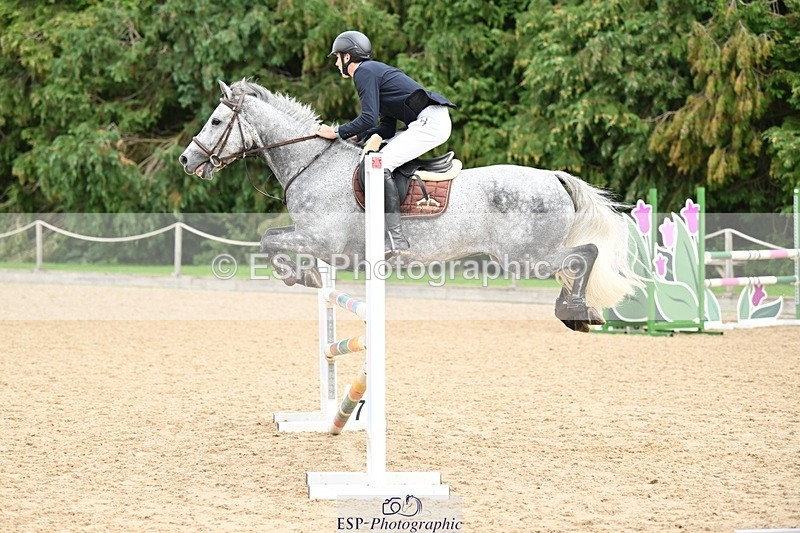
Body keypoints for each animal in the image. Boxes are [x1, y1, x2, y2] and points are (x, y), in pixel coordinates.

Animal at [179, 79, 639, 332]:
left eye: (216, 121)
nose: (187, 160)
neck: (313, 162)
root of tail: (553, 176)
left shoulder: (322, 241)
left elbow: (267, 240)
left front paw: (299, 276)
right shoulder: (313, 239)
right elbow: (271, 238)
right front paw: (302, 275)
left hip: (525, 258)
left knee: (583, 255)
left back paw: (577, 311)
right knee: (577, 260)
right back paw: (579, 312)